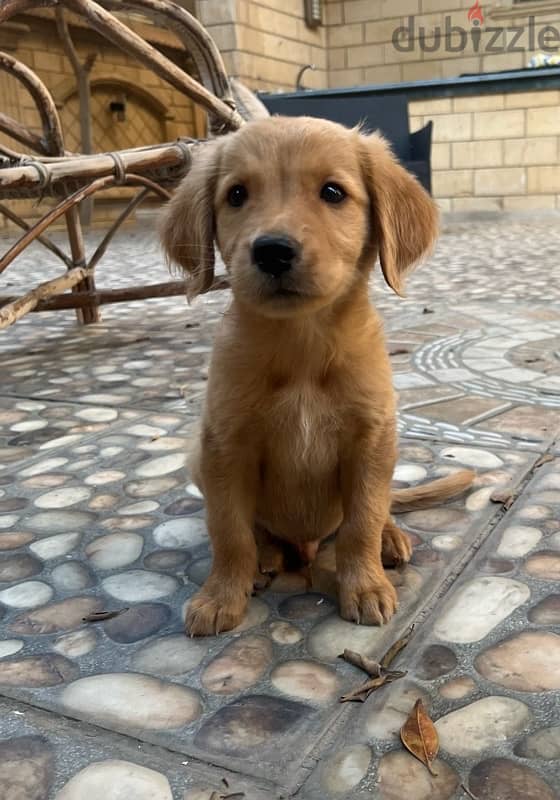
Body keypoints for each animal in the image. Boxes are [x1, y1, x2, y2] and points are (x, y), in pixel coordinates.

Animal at [160, 114, 474, 636]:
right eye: (237, 195)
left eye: (332, 192)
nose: (272, 251)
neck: (302, 347)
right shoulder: (223, 446)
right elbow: (229, 531)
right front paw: (220, 595)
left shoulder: (370, 440)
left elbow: (361, 522)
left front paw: (364, 586)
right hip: (195, 458)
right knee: (258, 530)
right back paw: (266, 559)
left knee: (379, 509)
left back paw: (390, 538)